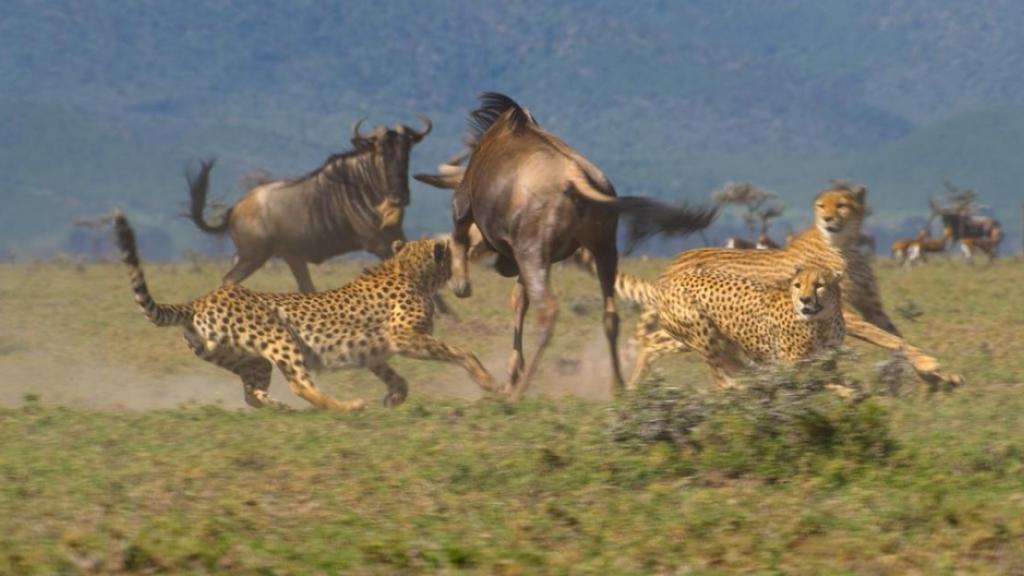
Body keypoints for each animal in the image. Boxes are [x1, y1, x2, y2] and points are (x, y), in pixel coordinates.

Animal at [113, 210, 494, 411]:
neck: (408, 269)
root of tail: (202, 299)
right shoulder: (404, 337)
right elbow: (460, 351)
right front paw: (485, 379)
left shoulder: (377, 350)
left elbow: (394, 375)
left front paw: (395, 396)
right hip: (281, 336)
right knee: (299, 384)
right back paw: (345, 407)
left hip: (252, 360)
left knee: (252, 394)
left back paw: (282, 409)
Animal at [614, 265, 845, 388]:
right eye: (797, 285)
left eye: (819, 285)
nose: (805, 300)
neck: (824, 321)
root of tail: (669, 282)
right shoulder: (793, 365)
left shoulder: (828, 361)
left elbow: (836, 382)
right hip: (702, 331)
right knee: (721, 381)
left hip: (690, 337)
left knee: (651, 341)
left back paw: (633, 386)